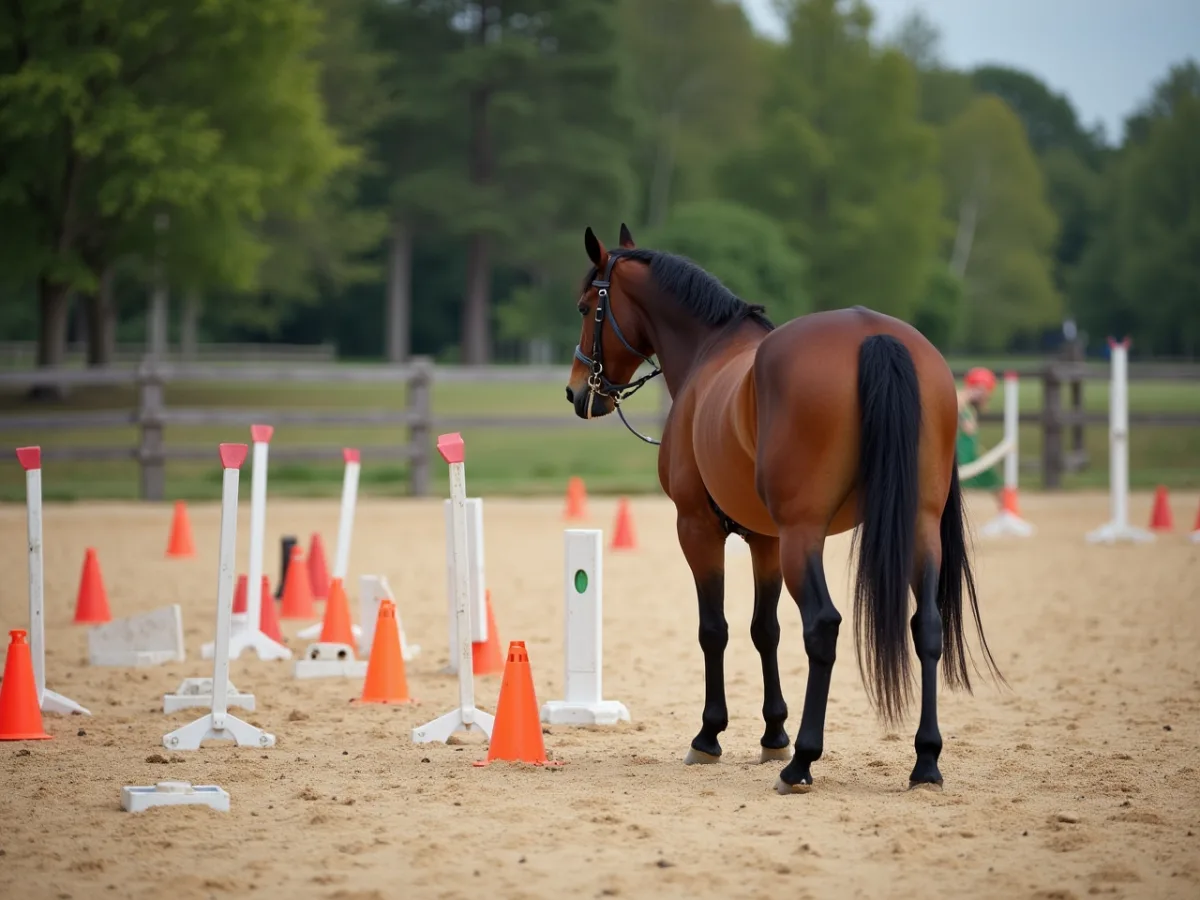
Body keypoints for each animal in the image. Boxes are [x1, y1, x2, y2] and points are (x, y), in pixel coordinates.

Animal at [564, 224, 1003, 794]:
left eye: (584, 306)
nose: (577, 391)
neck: (710, 352)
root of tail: (871, 335)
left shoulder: (698, 528)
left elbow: (715, 629)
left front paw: (710, 736)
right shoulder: (765, 539)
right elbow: (763, 629)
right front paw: (773, 733)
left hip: (803, 535)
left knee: (823, 626)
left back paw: (803, 763)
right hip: (917, 526)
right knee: (926, 625)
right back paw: (925, 760)